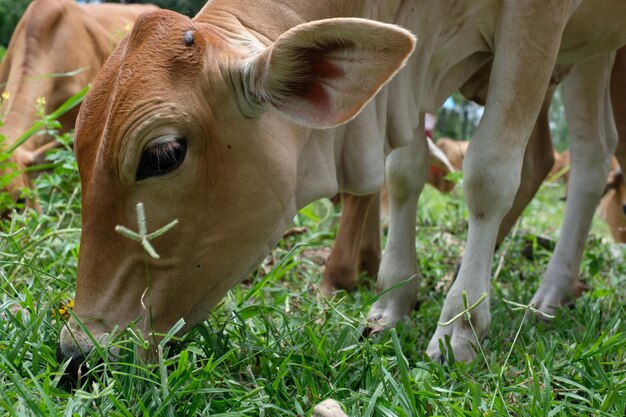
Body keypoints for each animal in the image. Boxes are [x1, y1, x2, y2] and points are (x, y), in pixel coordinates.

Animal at [57, 0, 624, 368]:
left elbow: (489, 172)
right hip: (594, 52)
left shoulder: (538, 19)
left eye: (164, 154)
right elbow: (404, 170)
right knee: (595, 156)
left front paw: (460, 325)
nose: (77, 353)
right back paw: (551, 291)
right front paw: (394, 300)